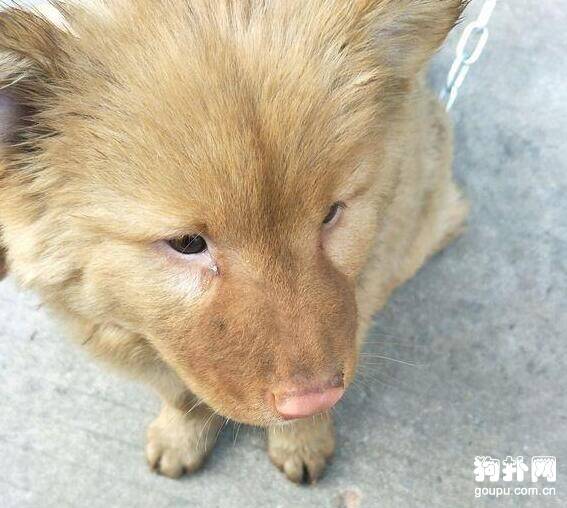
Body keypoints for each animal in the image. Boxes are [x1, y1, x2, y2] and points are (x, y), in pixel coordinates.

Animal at [0, 0, 468, 484]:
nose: (313, 398)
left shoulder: (366, 283)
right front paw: (182, 436)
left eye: (331, 214)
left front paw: (303, 439)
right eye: (187, 243)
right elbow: (180, 396)